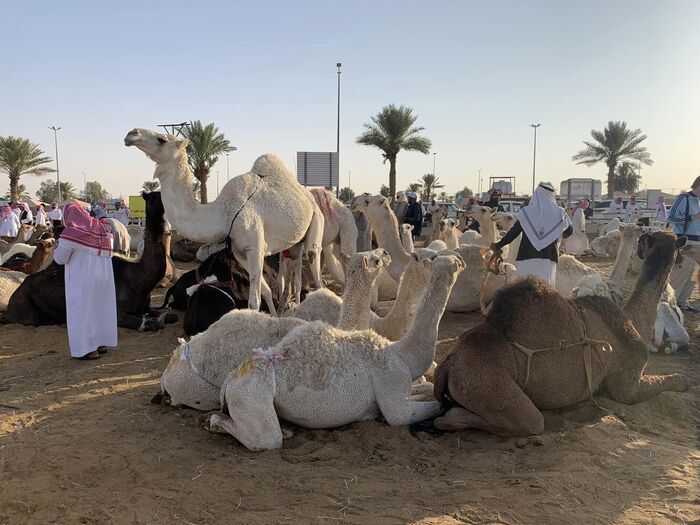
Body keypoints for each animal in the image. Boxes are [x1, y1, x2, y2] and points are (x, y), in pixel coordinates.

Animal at [124, 128, 322, 314]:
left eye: (162, 139)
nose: (131, 133)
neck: (223, 213)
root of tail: (308, 196)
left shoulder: (256, 248)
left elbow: (254, 301)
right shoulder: (240, 252)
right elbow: (265, 292)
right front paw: (273, 318)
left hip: (317, 220)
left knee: (315, 267)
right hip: (294, 244)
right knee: (294, 272)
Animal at [432, 231, 688, 436]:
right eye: (678, 246)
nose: (682, 259)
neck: (633, 319)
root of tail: (448, 364)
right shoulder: (628, 385)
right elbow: (666, 381)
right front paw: (683, 382)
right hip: (489, 387)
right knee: (529, 421)